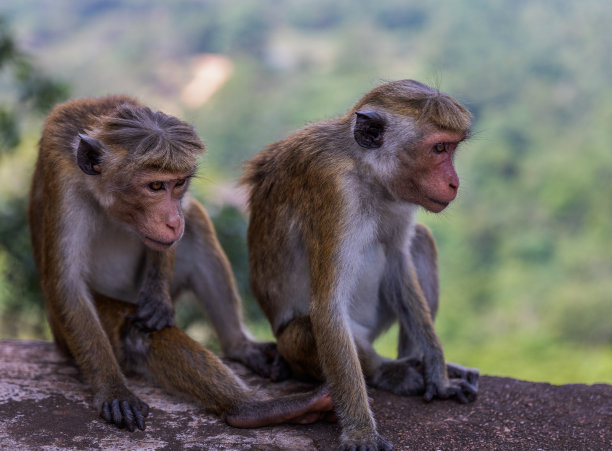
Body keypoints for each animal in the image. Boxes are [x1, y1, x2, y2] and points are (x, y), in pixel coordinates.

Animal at [29, 95, 332, 430]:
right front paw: (114, 389)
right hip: (62, 333)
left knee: (196, 221)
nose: (173, 221)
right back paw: (251, 408)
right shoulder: (62, 178)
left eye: (179, 184)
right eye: (155, 187)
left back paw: (241, 350)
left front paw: (158, 298)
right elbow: (67, 285)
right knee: (133, 332)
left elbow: (176, 232)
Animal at [241, 79, 480, 450]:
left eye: (451, 148)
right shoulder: (334, 190)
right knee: (309, 330)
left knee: (420, 241)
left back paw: (414, 361)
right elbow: (327, 307)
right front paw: (361, 431)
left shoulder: (400, 194)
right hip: (305, 344)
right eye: (439, 148)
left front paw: (438, 375)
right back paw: (387, 371)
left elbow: (398, 261)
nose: (454, 182)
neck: (366, 171)